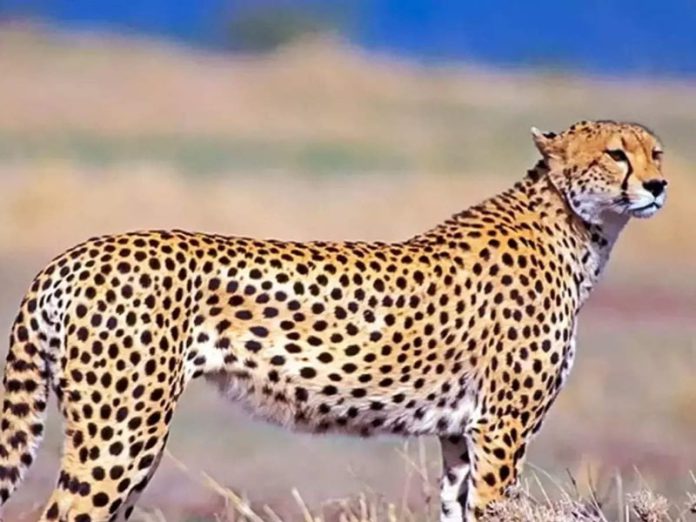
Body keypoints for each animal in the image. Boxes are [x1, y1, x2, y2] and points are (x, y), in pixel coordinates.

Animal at [0, 120, 667, 521]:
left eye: (655, 152)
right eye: (616, 154)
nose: (659, 184)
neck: (578, 229)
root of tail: (75, 253)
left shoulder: (463, 432)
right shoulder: (503, 427)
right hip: (123, 433)